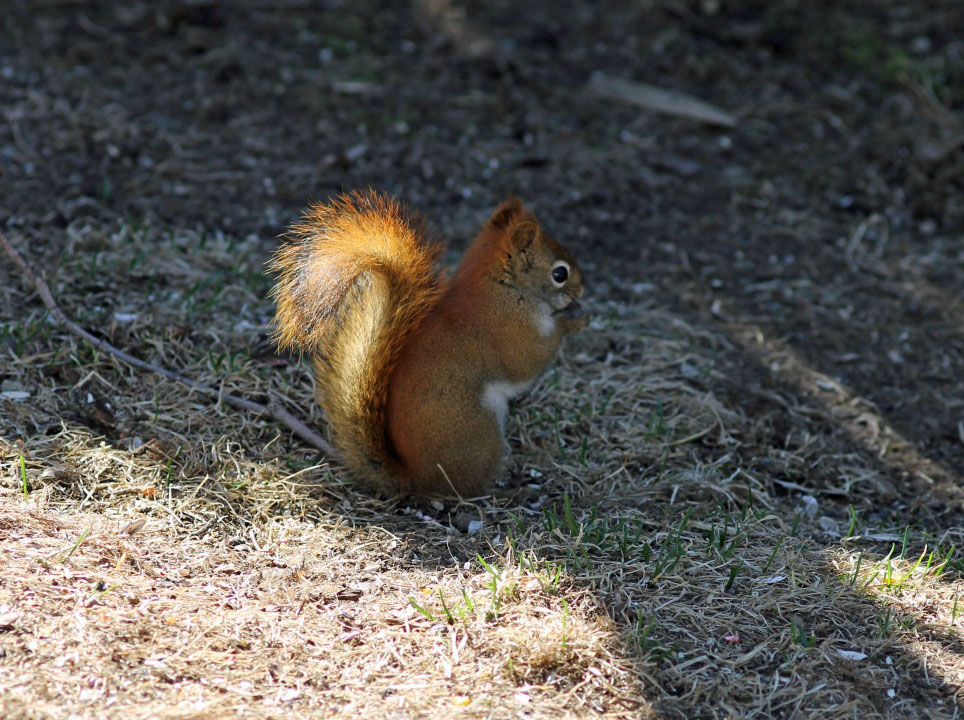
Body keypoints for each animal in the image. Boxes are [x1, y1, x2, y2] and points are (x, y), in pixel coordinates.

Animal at [269, 190, 587, 496]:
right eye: (560, 273)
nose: (582, 289)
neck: (498, 287)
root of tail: (416, 476)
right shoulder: (510, 328)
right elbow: (528, 361)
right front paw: (572, 321)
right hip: (479, 432)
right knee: (465, 489)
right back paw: (508, 491)